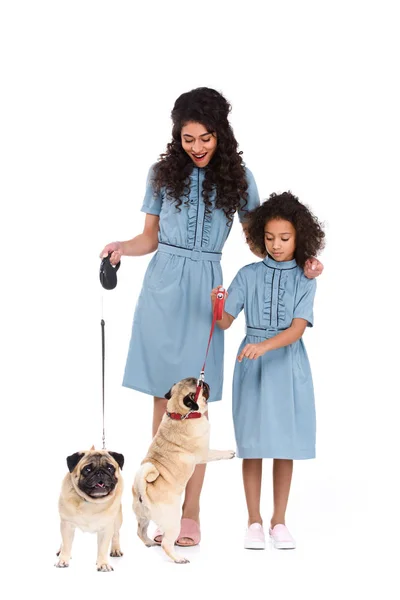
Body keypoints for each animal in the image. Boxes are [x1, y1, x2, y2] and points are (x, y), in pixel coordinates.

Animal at [133, 378, 236, 564]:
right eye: (200, 386)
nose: (205, 381)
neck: (179, 414)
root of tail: (142, 489)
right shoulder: (204, 453)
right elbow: (217, 453)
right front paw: (228, 453)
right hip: (173, 523)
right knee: (166, 544)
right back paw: (178, 558)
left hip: (143, 517)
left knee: (140, 531)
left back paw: (149, 542)